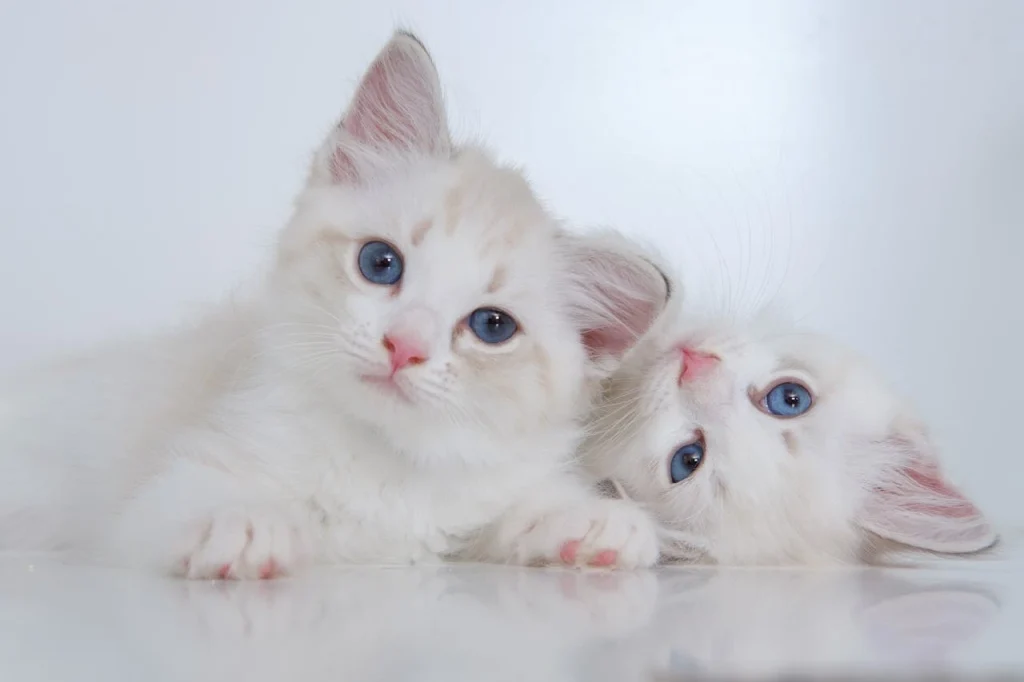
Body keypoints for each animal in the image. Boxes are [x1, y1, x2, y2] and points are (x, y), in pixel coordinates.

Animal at [0, 31, 667, 573]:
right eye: (380, 264)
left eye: (492, 326)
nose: (404, 346)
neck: (379, 463)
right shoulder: (147, 499)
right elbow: (182, 504)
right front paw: (241, 525)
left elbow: (507, 519)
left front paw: (587, 521)